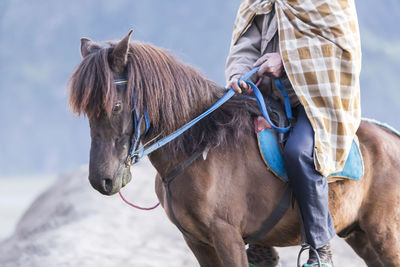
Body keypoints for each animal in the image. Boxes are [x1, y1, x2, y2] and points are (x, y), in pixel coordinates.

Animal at [68, 31, 400, 267]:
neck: (201, 145)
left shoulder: (227, 236)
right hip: (361, 235)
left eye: (115, 106)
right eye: (87, 112)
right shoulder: (197, 242)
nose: (103, 181)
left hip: (385, 235)